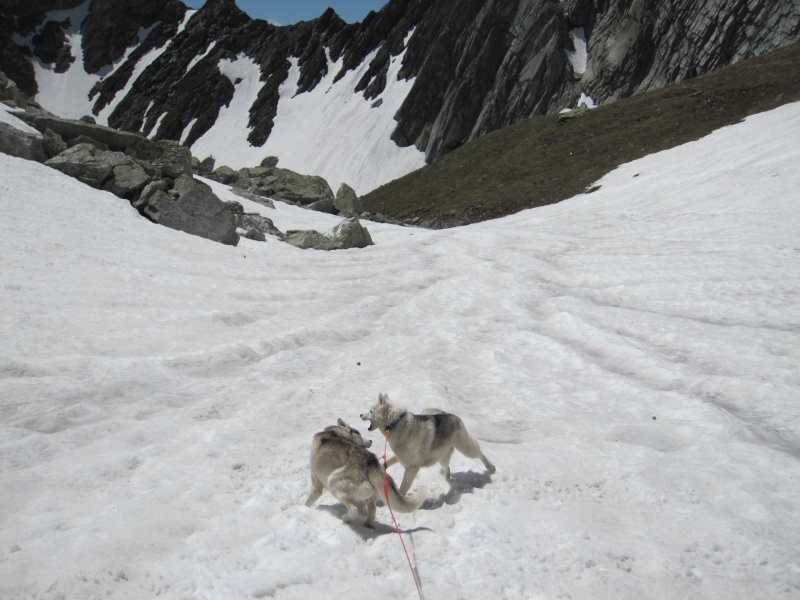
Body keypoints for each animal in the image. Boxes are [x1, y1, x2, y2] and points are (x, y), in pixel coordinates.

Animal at [360, 392, 494, 494]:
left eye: (370, 411)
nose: (360, 414)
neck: (395, 424)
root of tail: (450, 414)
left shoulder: (412, 467)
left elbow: (403, 488)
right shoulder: (400, 457)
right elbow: (386, 463)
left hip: (465, 447)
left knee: (479, 453)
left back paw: (491, 467)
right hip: (441, 456)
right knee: (447, 466)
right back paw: (447, 479)